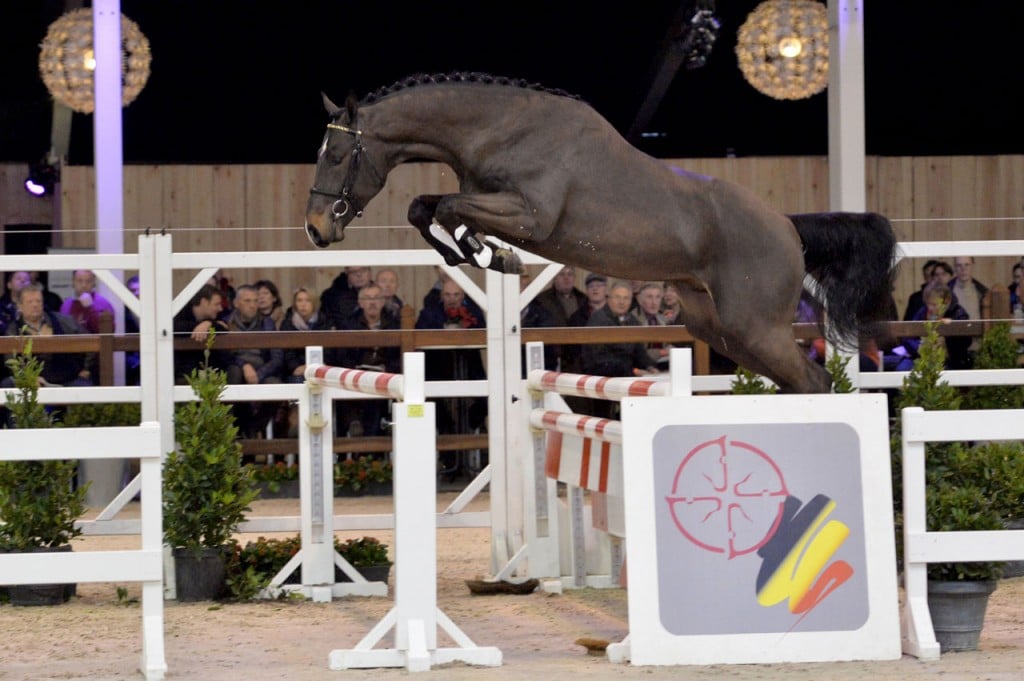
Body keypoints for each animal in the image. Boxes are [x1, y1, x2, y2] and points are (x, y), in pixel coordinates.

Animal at [303, 71, 897, 393]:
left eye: (335, 155)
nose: (314, 229)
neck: (499, 130)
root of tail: (787, 227)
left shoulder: (530, 216)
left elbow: (447, 208)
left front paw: (490, 254)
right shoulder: (494, 204)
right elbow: (423, 208)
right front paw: (480, 255)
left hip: (756, 327)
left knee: (814, 381)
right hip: (719, 327)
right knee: (799, 381)